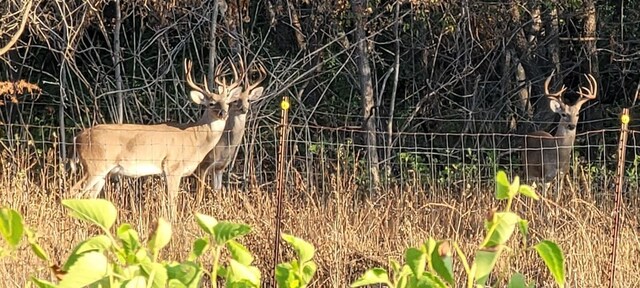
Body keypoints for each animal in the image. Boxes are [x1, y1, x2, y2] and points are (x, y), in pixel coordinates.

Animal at [69, 59, 241, 218]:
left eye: (227, 103)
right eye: (211, 103)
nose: (223, 113)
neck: (195, 138)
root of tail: (78, 137)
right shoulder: (172, 166)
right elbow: (172, 203)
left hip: (101, 172)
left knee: (89, 197)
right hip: (94, 165)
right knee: (73, 192)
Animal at [194, 58, 266, 198]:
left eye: (248, 100)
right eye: (235, 101)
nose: (244, 108)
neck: (225, 145)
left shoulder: (220, 167)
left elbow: (217, 191)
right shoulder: (204, 165)